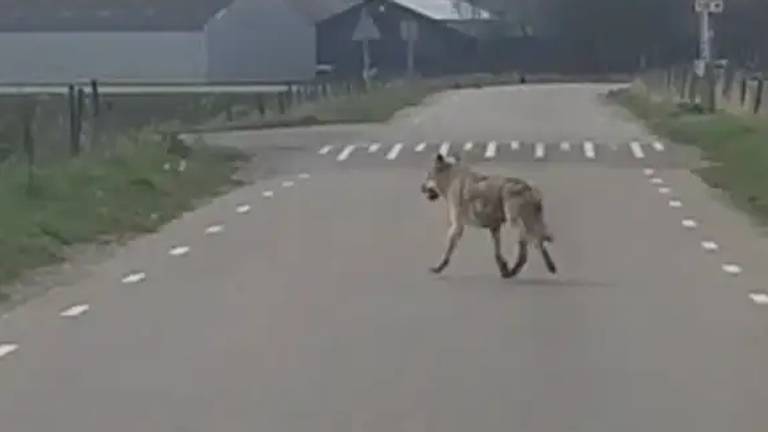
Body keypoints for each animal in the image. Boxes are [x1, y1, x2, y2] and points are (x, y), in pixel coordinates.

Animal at [424, 154, 556, 278]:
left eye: (428, 176)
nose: (421, 188)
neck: (450, 177)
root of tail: (528, 187)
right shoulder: (494, 228)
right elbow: (497, 252)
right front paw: (503, 267)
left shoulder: (457, 226)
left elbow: (447, 251)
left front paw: (439, 267)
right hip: (531, 223)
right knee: (538, 241)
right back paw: (549, 267)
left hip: (516, 222)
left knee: (528, 243)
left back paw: (515, 269)